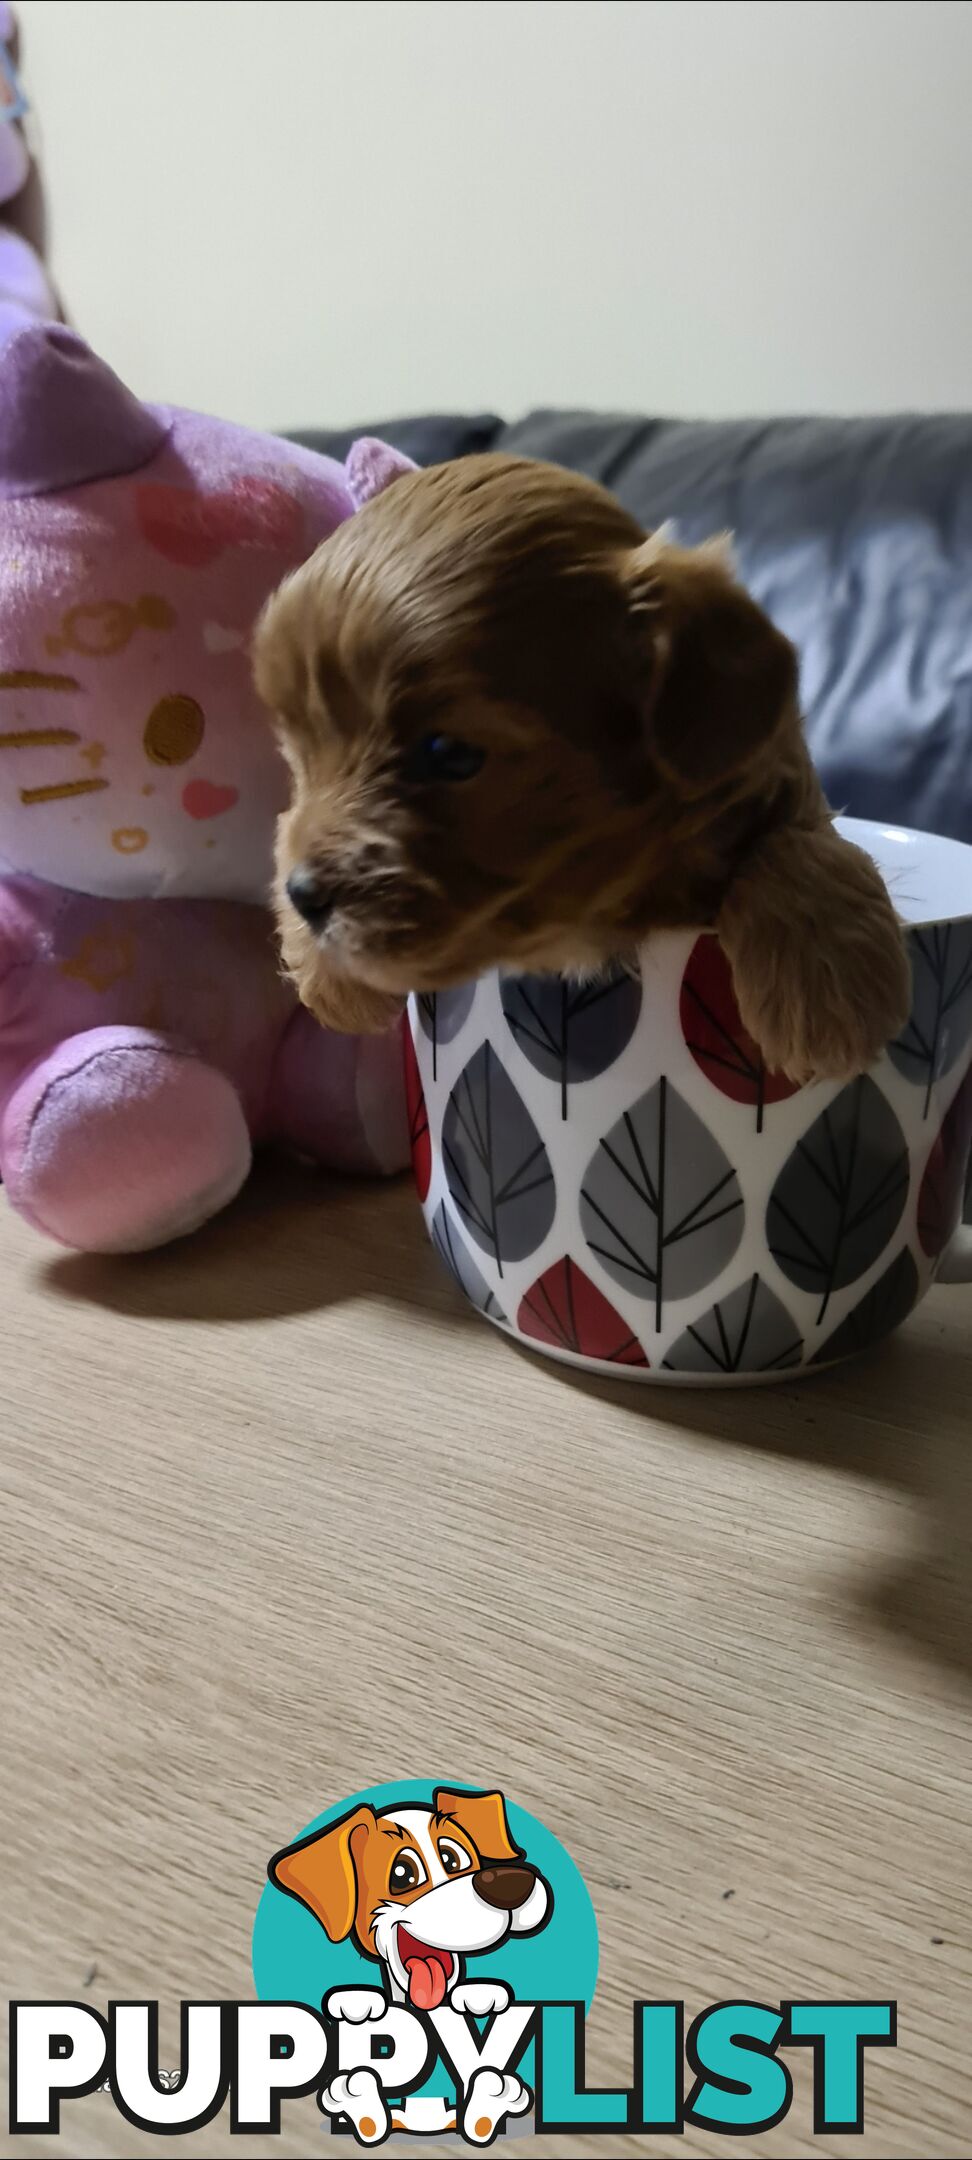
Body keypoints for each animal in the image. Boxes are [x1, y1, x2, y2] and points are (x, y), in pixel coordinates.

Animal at [252, 462, 911, 1088]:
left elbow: (799, 842)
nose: (305, 896)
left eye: (448, 752)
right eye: (298, 753)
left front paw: (829, 991)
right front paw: (327, 974)